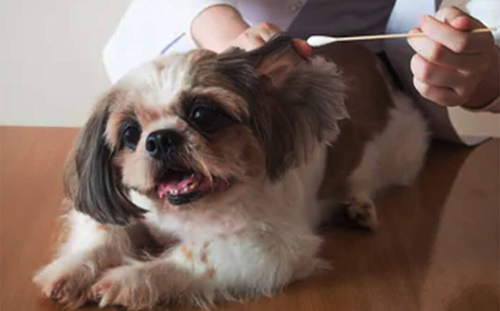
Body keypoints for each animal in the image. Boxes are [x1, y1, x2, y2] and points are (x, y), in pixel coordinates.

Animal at [33, 34, 428, 310]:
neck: (188, 210)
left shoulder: (272, 247)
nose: (160, 138)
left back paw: (359, 206)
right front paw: (71, 270)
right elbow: (103, 234)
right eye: (130, 133)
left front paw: (131, 279)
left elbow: (195, 255)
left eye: (202, 114)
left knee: (369, 179)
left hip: (402, 152)